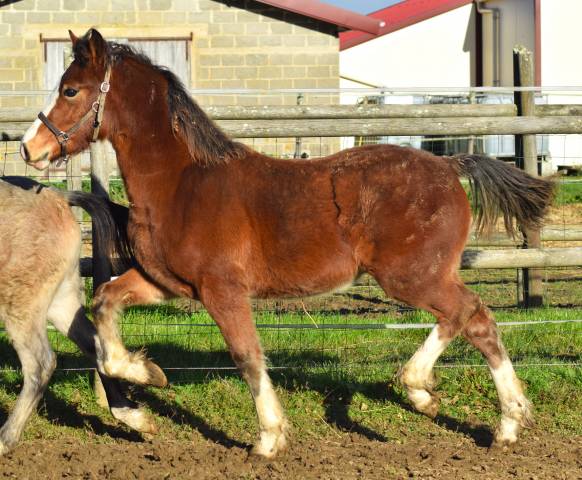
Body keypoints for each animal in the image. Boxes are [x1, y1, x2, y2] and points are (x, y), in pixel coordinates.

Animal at [0, 176, 157, 454]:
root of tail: (58, 196)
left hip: (20, 300)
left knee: (40, 364)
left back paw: (4, 441)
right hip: (61, 300)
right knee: (96, 345)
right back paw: (137, 406)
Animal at [20, 29, 556, 458]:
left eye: (70, 89)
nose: (30, 148)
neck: (182, 182)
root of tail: (450, 164)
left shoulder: (222, 290)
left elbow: (247, 356)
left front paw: (269, 439)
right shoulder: (168, 283)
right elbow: (106, 304)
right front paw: (147, 377)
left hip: (411, 277)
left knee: (467, 312)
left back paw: (427, 392)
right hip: (422, 276)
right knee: (477, 322)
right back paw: (506, 424)